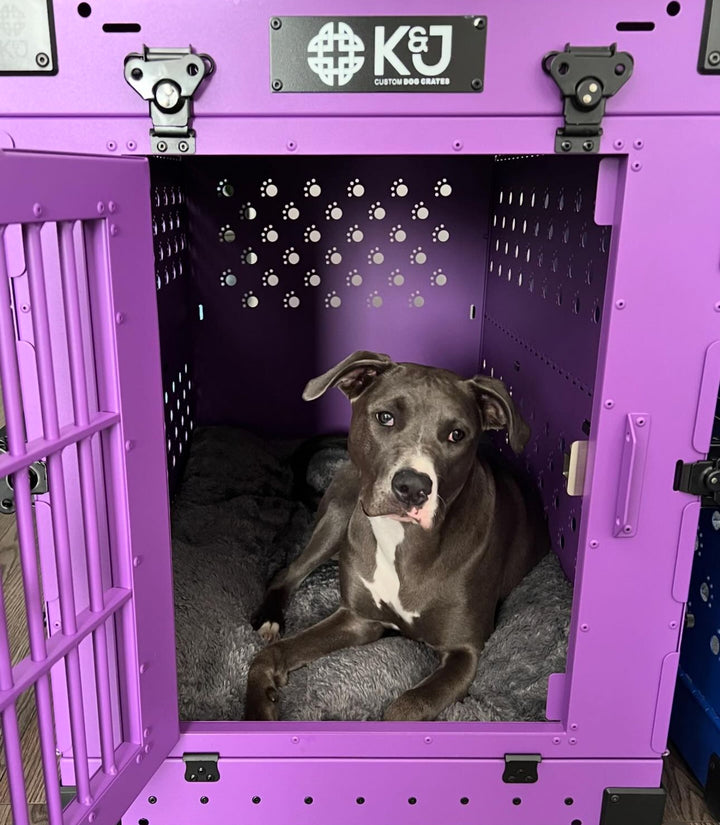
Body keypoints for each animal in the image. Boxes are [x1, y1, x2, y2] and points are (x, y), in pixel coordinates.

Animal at [245, 350, 548, 716]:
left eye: (457, 435)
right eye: (385, 417)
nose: (413, 487)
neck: (402, 541)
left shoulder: (464, 652)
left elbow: (406, 706)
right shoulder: (356, 619)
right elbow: (268, 655)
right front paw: (257, 710)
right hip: (339, 516)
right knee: (287, 571)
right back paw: (269, 617)